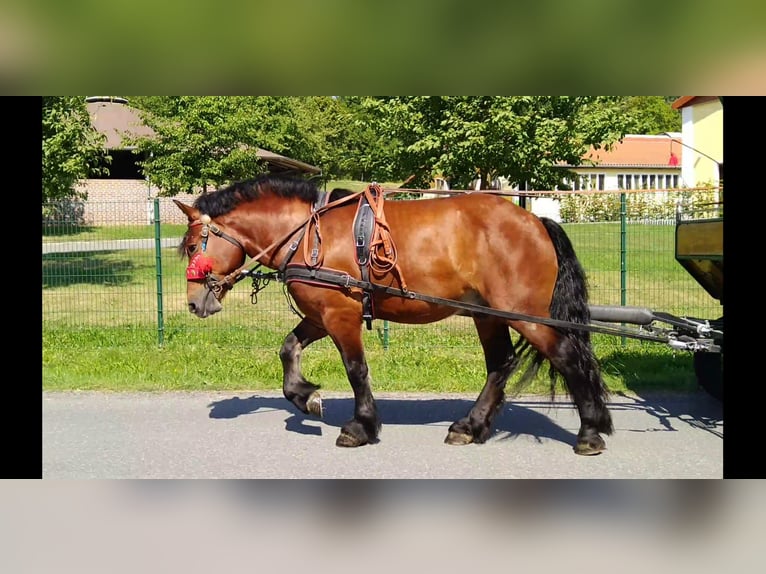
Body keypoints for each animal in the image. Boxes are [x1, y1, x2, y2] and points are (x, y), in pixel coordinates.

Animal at [171, 176, 616, 460]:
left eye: (193, 245)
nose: (194, 303)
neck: (307, 234)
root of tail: (535, 220)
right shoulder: (321, 314)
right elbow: (288, 349)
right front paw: (306, 396)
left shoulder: (341, 315)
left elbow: (356, 370)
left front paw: (360, 427)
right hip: (488, 315)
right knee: (500, 364)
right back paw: (469, 426)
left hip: (527, 317)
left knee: (568, 359)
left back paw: (590, 433)